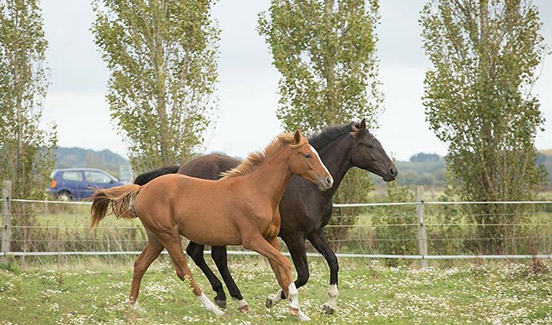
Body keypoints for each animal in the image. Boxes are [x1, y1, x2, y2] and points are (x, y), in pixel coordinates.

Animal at [89, 131, 332, 318]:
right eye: (307, 155)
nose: (328, 180)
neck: (258, 191)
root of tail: (142, 189)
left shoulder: (271, 238)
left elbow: (281, 272)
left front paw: (297, 312)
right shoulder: (252, 240)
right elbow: (286, 264)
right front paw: (293, 307)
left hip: (156, 238)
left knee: (140, 264)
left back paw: (134, 307)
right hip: (169, 235)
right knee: (183, 270)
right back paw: (215, 309)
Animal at [136, 118, 398, 312]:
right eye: (370, 145)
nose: (392, 171)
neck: (306, 187)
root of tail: (181, 168)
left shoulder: (314, 232)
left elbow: (333, 261)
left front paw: (330, 304)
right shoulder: (294, 236)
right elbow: (302, 274)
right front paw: (275, 299)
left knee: (203, 255)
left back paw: (225, 296)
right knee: (206, 256)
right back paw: (231, 297)